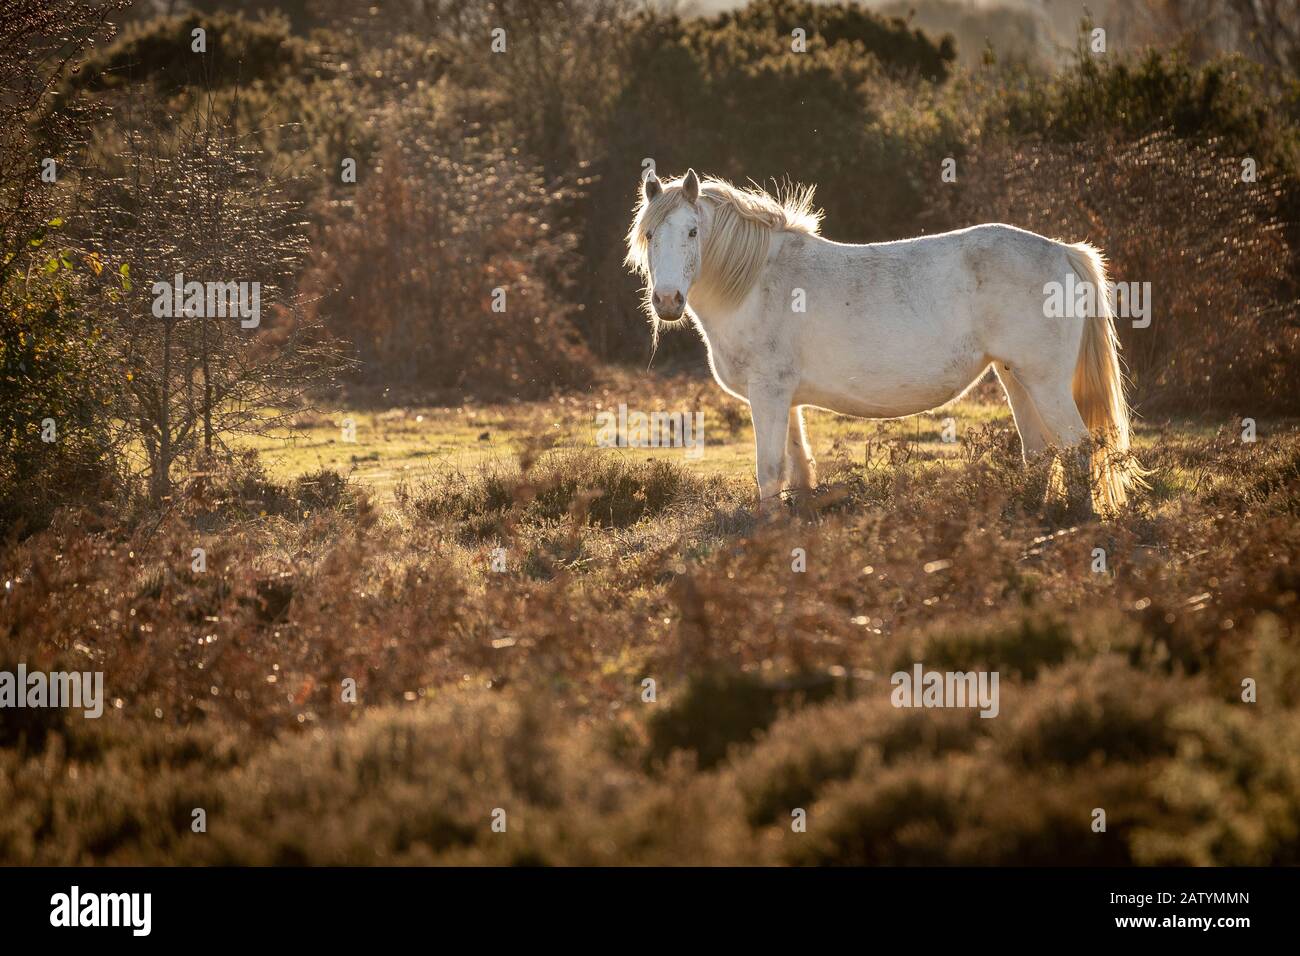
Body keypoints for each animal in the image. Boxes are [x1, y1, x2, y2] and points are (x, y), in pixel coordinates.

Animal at [629, 171, 1149, 515]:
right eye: (650, 234)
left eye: (693, 231)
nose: (668, 301)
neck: (757, 281)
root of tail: (1064, 251)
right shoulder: (786, 399)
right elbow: (797, 470)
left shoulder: (769, 393)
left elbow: (769, 470)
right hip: (1016, 378)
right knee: (1041, 453)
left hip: (1045, 382)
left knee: (1078, 447)